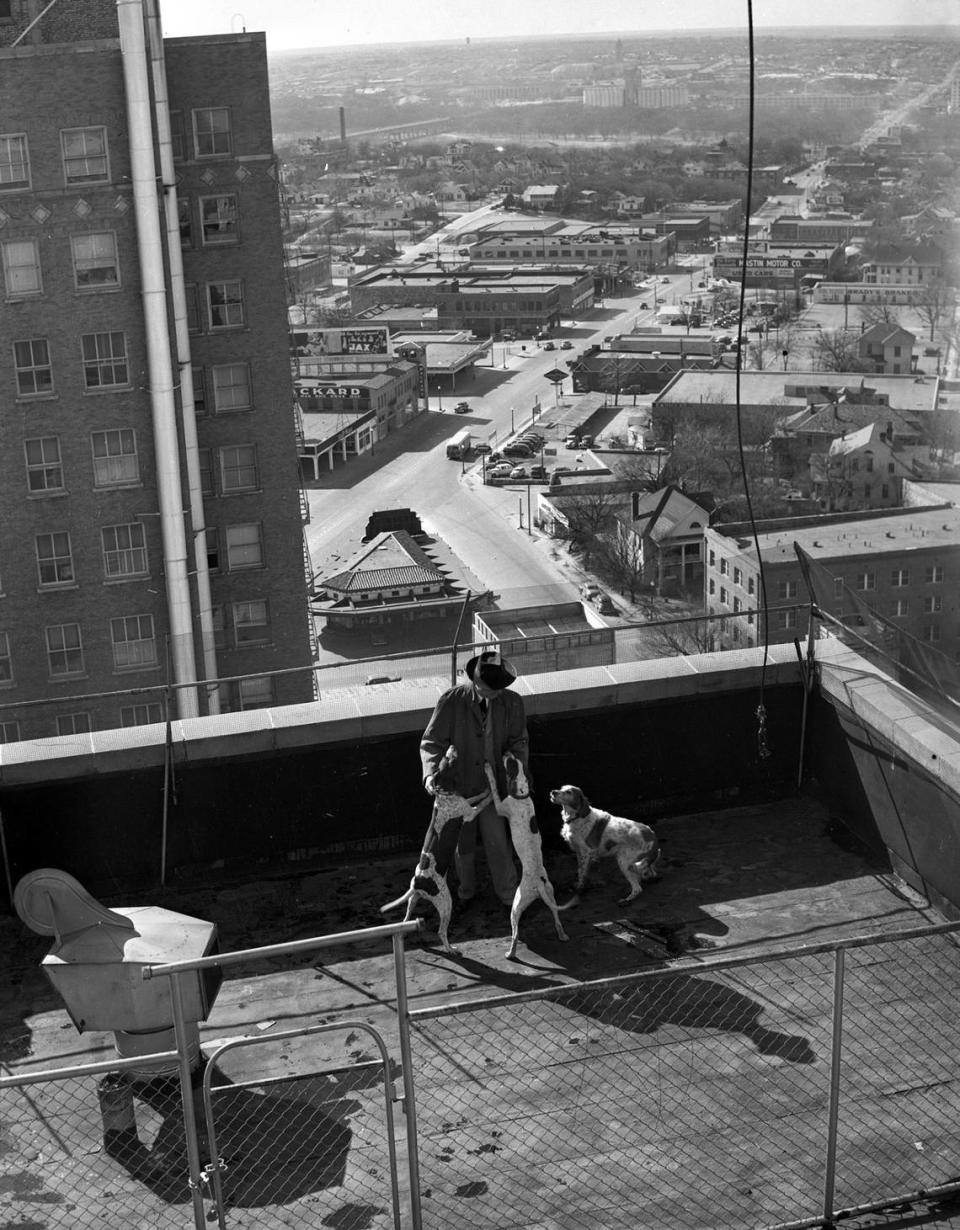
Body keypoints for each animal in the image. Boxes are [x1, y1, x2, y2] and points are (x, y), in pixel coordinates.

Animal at [381, 742, 492, 954]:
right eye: (447, 759)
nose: (452, 745)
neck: (443, 793)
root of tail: (418, 882)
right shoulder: (470, 814)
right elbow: (482, 802)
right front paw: (491, 794)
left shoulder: (465, 802)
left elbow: (476, 795)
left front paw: (487, 789)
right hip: (446, 903)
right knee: (441, 932)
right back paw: (451, 949)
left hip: (413, 901)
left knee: (405, 919)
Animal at [484, 747, 566, 959]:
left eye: (510, 763)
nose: (506, 751)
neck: (522, 795)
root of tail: (538, 883)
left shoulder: (500, 807)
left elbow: (494, 787)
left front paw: (488, 769)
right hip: (551, 896)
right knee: (557, 918)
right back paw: (562, 935)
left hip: (516, 906)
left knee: (515, 933)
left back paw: (511, 953)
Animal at [546, 782, 659, 910]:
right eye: (561, 788)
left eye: (568, 792)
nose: (553, 792)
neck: (577, 816)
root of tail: (652, 836)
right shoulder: (579, 853)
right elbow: (580, 871)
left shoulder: (585, 852)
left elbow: (582, 873)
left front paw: (580, 889)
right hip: (639, 862)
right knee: (649, 873)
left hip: (623, 860)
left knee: (637, 888)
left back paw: (626, 900)